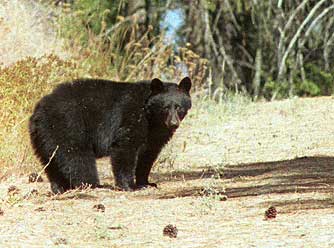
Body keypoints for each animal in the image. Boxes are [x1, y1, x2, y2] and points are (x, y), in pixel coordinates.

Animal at [30, 76, 192, 193]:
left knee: (52, 162)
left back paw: (59, 188)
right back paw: (93, 185)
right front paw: (129, 186)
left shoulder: (155, 136)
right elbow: (125, 148)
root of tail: (38, 111)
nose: (173, 124)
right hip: (68, 126)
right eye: (166, 107)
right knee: (77, 157)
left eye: (179, 107)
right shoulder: (131, 117)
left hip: (45, 137)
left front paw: (146, 183)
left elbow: (147, 157)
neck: (151, 117)